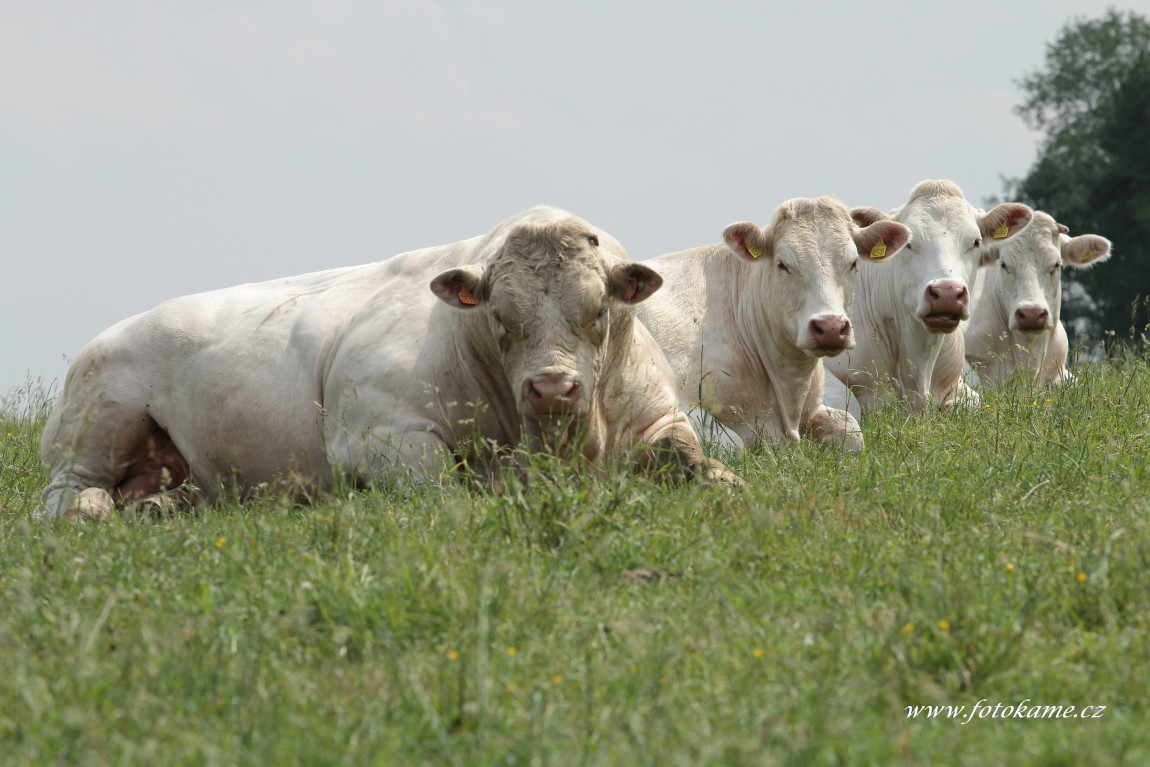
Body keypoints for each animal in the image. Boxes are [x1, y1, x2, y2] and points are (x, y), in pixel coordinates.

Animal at [40, 205, 740, 522]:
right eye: (500, 318)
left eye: (599, 311)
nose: (551, 388)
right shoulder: (377, 434)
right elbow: (449, 494)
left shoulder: (657, 417)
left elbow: (703, 467)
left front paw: (727, 483)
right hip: (97, 423)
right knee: (65, 497)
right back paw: (95, 510)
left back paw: (159, 508)